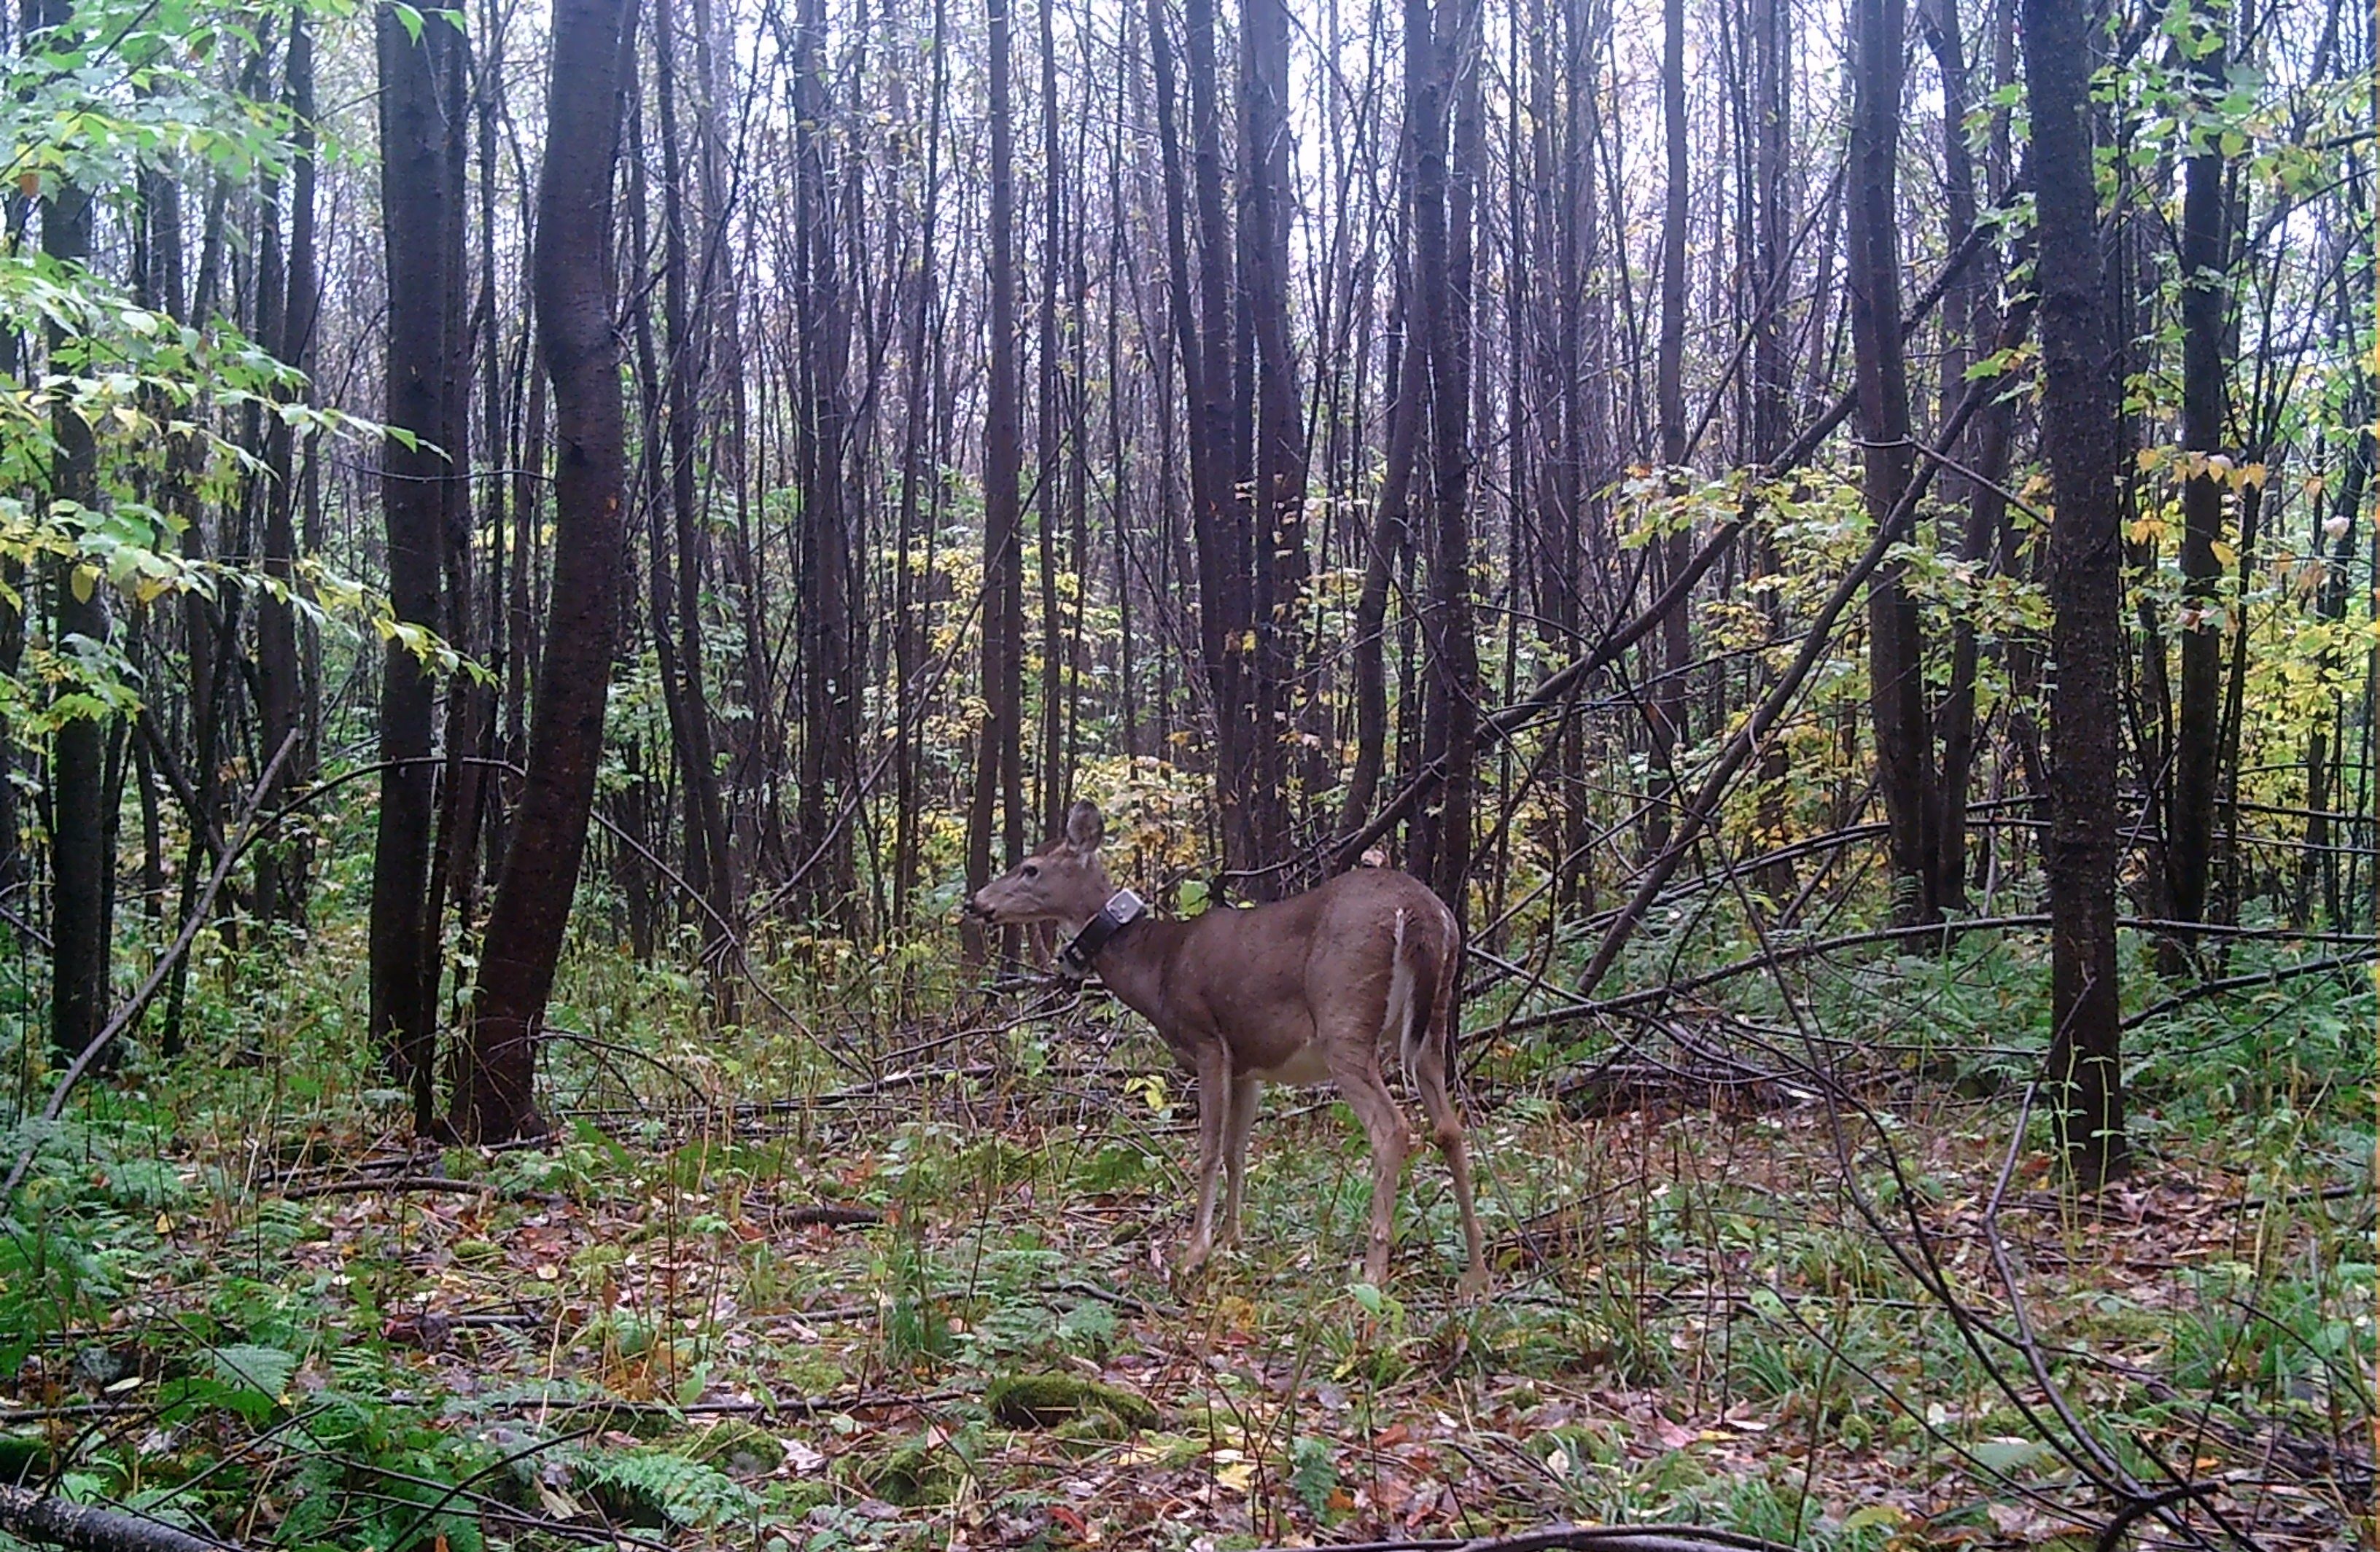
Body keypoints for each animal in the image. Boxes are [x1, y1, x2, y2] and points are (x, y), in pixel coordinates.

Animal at [966, 800, 1485, 1295]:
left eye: (1030, 868)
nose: (976, 902)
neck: (1156, 966)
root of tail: (1424, 914)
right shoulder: (1248, 1062)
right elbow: (1238, 1150)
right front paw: (1234, 1243)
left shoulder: (1207, 1041)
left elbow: (1209, 1149)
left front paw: (1195, 1253)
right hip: (1432, 1024)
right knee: (1449, 1127)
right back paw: (1476, 1272)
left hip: (1346, 1020)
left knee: (1392, 1128)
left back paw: (1374, 1272)